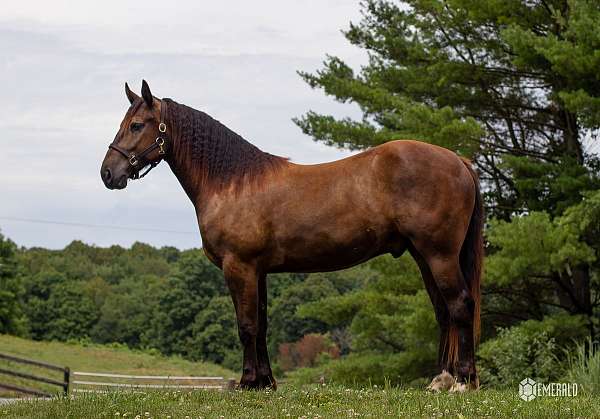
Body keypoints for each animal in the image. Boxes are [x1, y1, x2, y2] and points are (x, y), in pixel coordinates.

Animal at [99, 81, 482, 394]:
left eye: (136, 125)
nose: (107, 173)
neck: (232, 183)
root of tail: (458, 160)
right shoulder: (259, 271)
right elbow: (262, 324)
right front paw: (265, 382)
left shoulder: (239, 267)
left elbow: (246, 325)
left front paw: (247, 382)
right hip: (423, 256)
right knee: (443, 312)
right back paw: (441, 380)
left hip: (438, 255)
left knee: (460, 305)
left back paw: (462, 382)